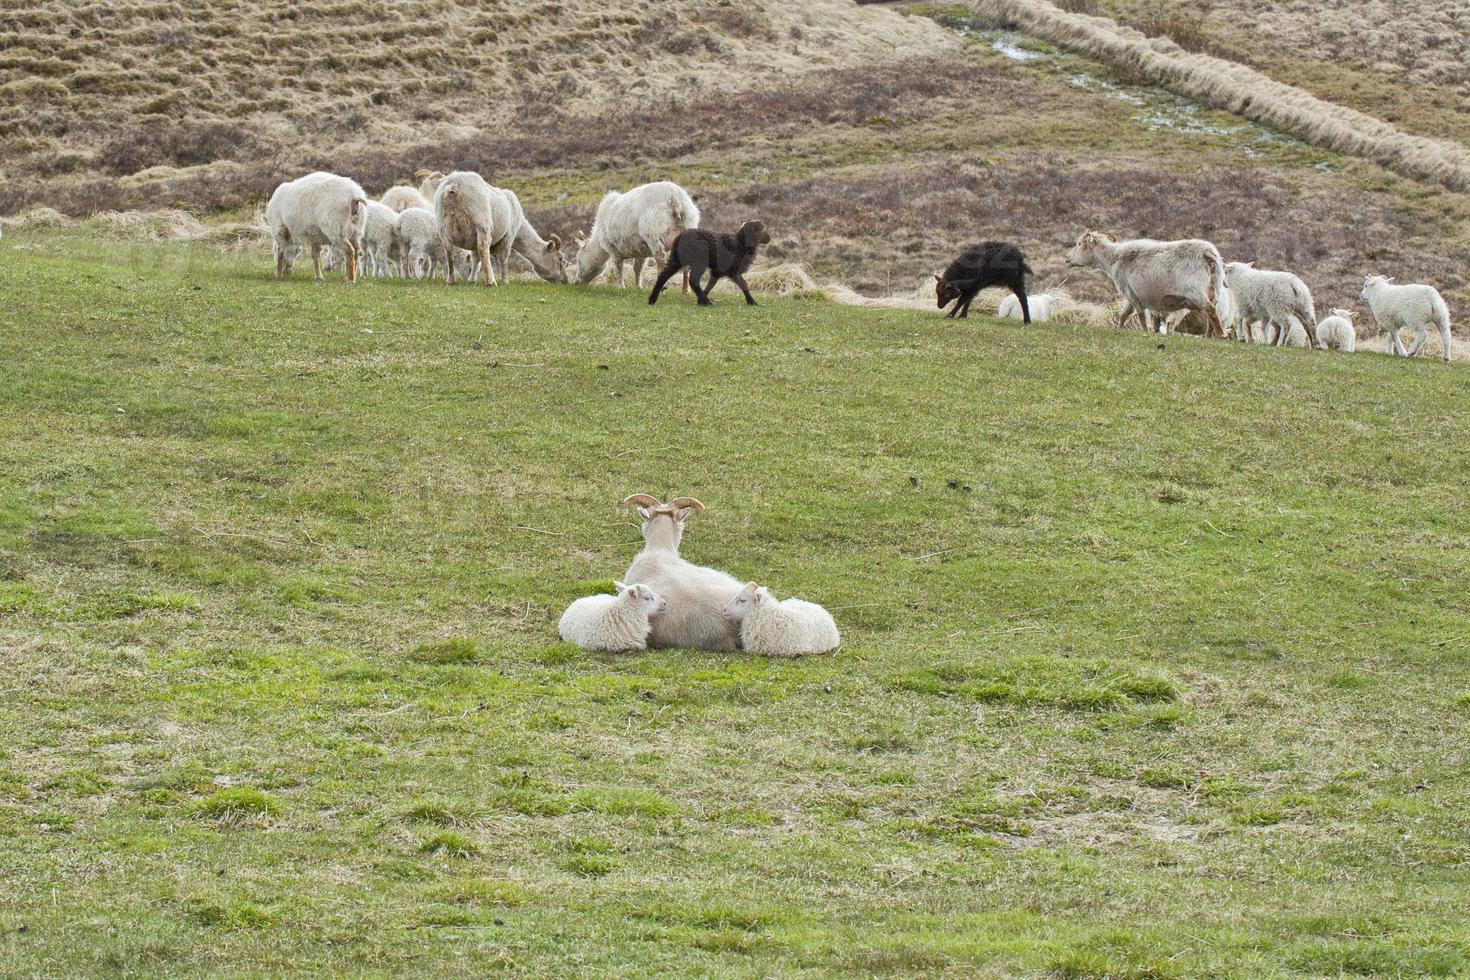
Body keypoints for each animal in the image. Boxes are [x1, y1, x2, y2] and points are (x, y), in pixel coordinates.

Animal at [1070, 232, 1228, 339]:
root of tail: (1207, 254)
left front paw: (1144, 332)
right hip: (1213, 290)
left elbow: (1140, 315)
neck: (1112, 257)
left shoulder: (1131, 293)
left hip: (1196, 292)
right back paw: (1209, 336)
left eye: (1079, 243)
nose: (1067, 258)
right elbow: (1123, 314)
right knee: (1211, 313)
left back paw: (1220, 334)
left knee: (1210, 310)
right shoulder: (1131, 295)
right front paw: (1119, 329)